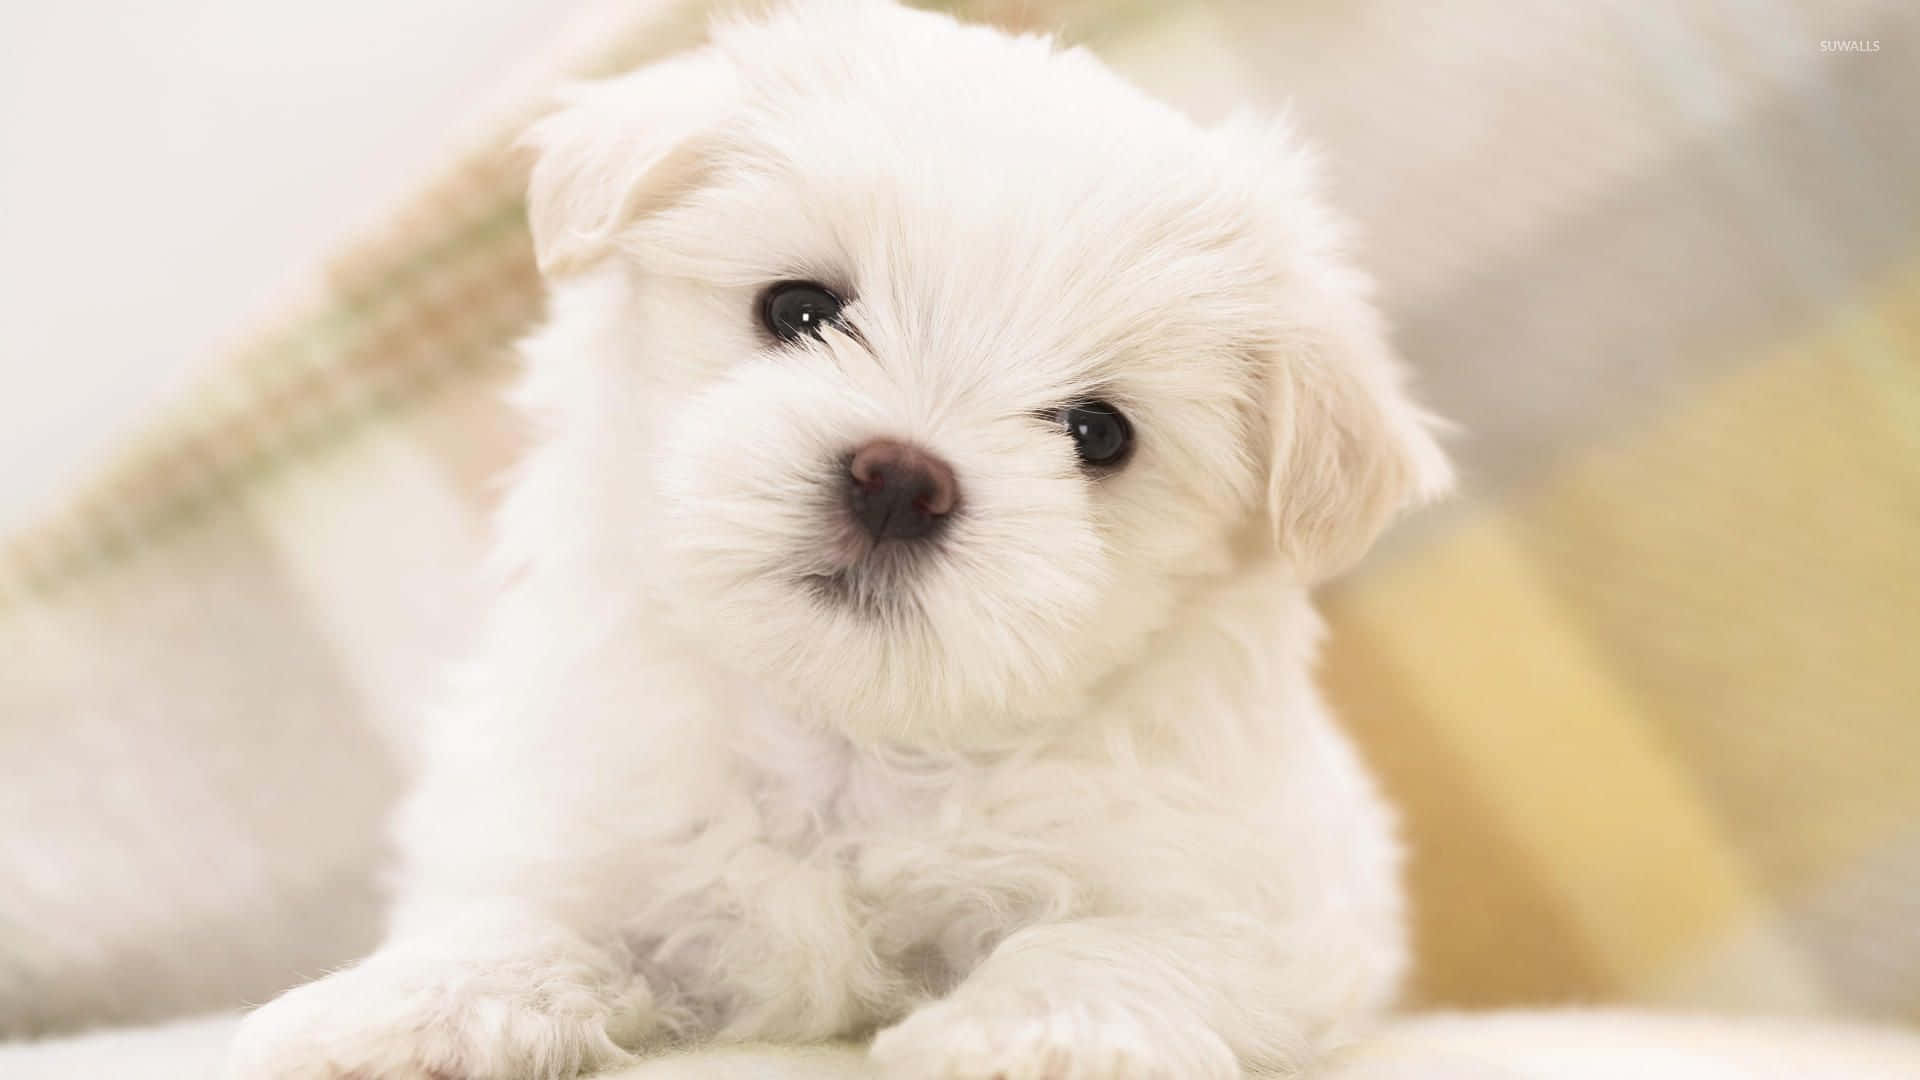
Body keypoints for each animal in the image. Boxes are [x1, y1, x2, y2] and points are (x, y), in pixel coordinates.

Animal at [232, 2, 1443, 1076]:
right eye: (800, 310)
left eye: (1098, 434)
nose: (901, 480)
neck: (845, 736)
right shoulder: (570, 822)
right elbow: (524, 921)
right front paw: (384, 1014)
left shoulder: (1265, 902)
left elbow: (1114, 942)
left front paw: (1027, 1040)